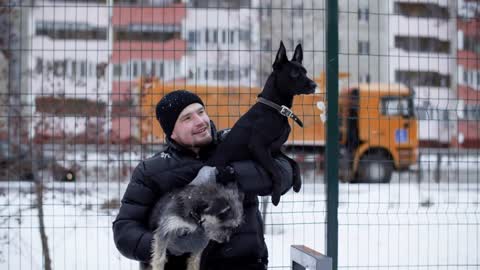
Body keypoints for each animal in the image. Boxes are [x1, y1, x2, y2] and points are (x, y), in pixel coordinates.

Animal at [205, 40, 316, 205]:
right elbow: (276, 171)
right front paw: (276, 196)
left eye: (305, 71)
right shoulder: (259, 147)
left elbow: (294, 163)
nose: (315, 85)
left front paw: (297, 184)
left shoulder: (275, 151)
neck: (275, 108)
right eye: (295, 73)